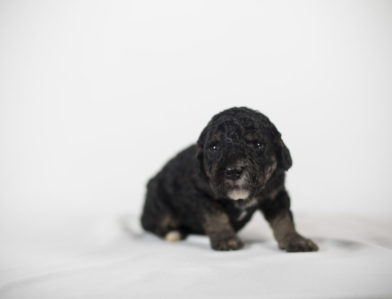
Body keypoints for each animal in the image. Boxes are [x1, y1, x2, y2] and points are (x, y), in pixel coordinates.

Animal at [141, 106, 318, 252]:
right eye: (213, 147)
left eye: (257, 144)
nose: (233, 172)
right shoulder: (201, 194)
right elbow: (216, 216)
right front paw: (226, 239)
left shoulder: (276, 195)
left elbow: (284, 219)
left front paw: (295, 240)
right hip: (157, 203)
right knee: (150, 224)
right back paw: (173, 233)